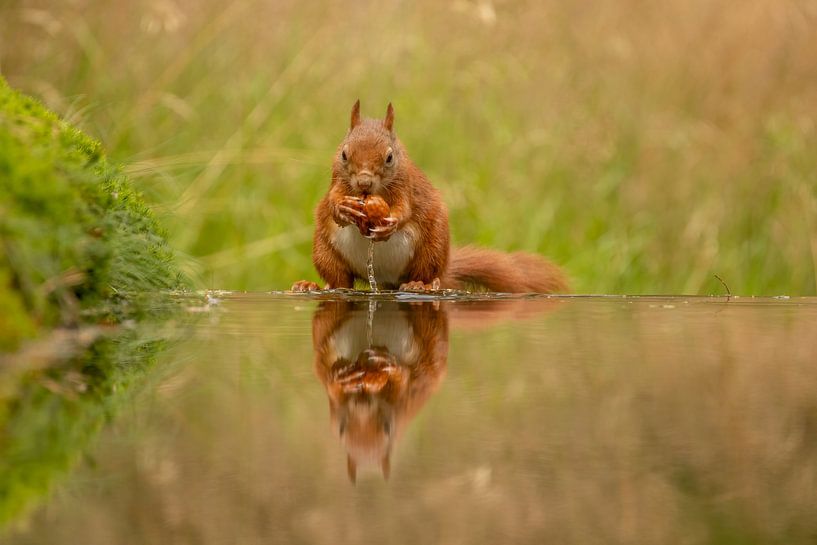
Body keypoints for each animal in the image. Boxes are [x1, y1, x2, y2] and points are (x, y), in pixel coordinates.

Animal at [291, 101, 568, 293]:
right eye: (344, 154)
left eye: (389, 157)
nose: (364, 182)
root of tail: (385, 281)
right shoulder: (337, 181)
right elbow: (332, 201)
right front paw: (342, 209)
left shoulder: (406, 186)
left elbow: (404, 209)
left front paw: (390, 223)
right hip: (324, 251)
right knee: (340, 282)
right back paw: (312, 286)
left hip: (432, 248)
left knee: (425, 274)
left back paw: (421, 285)